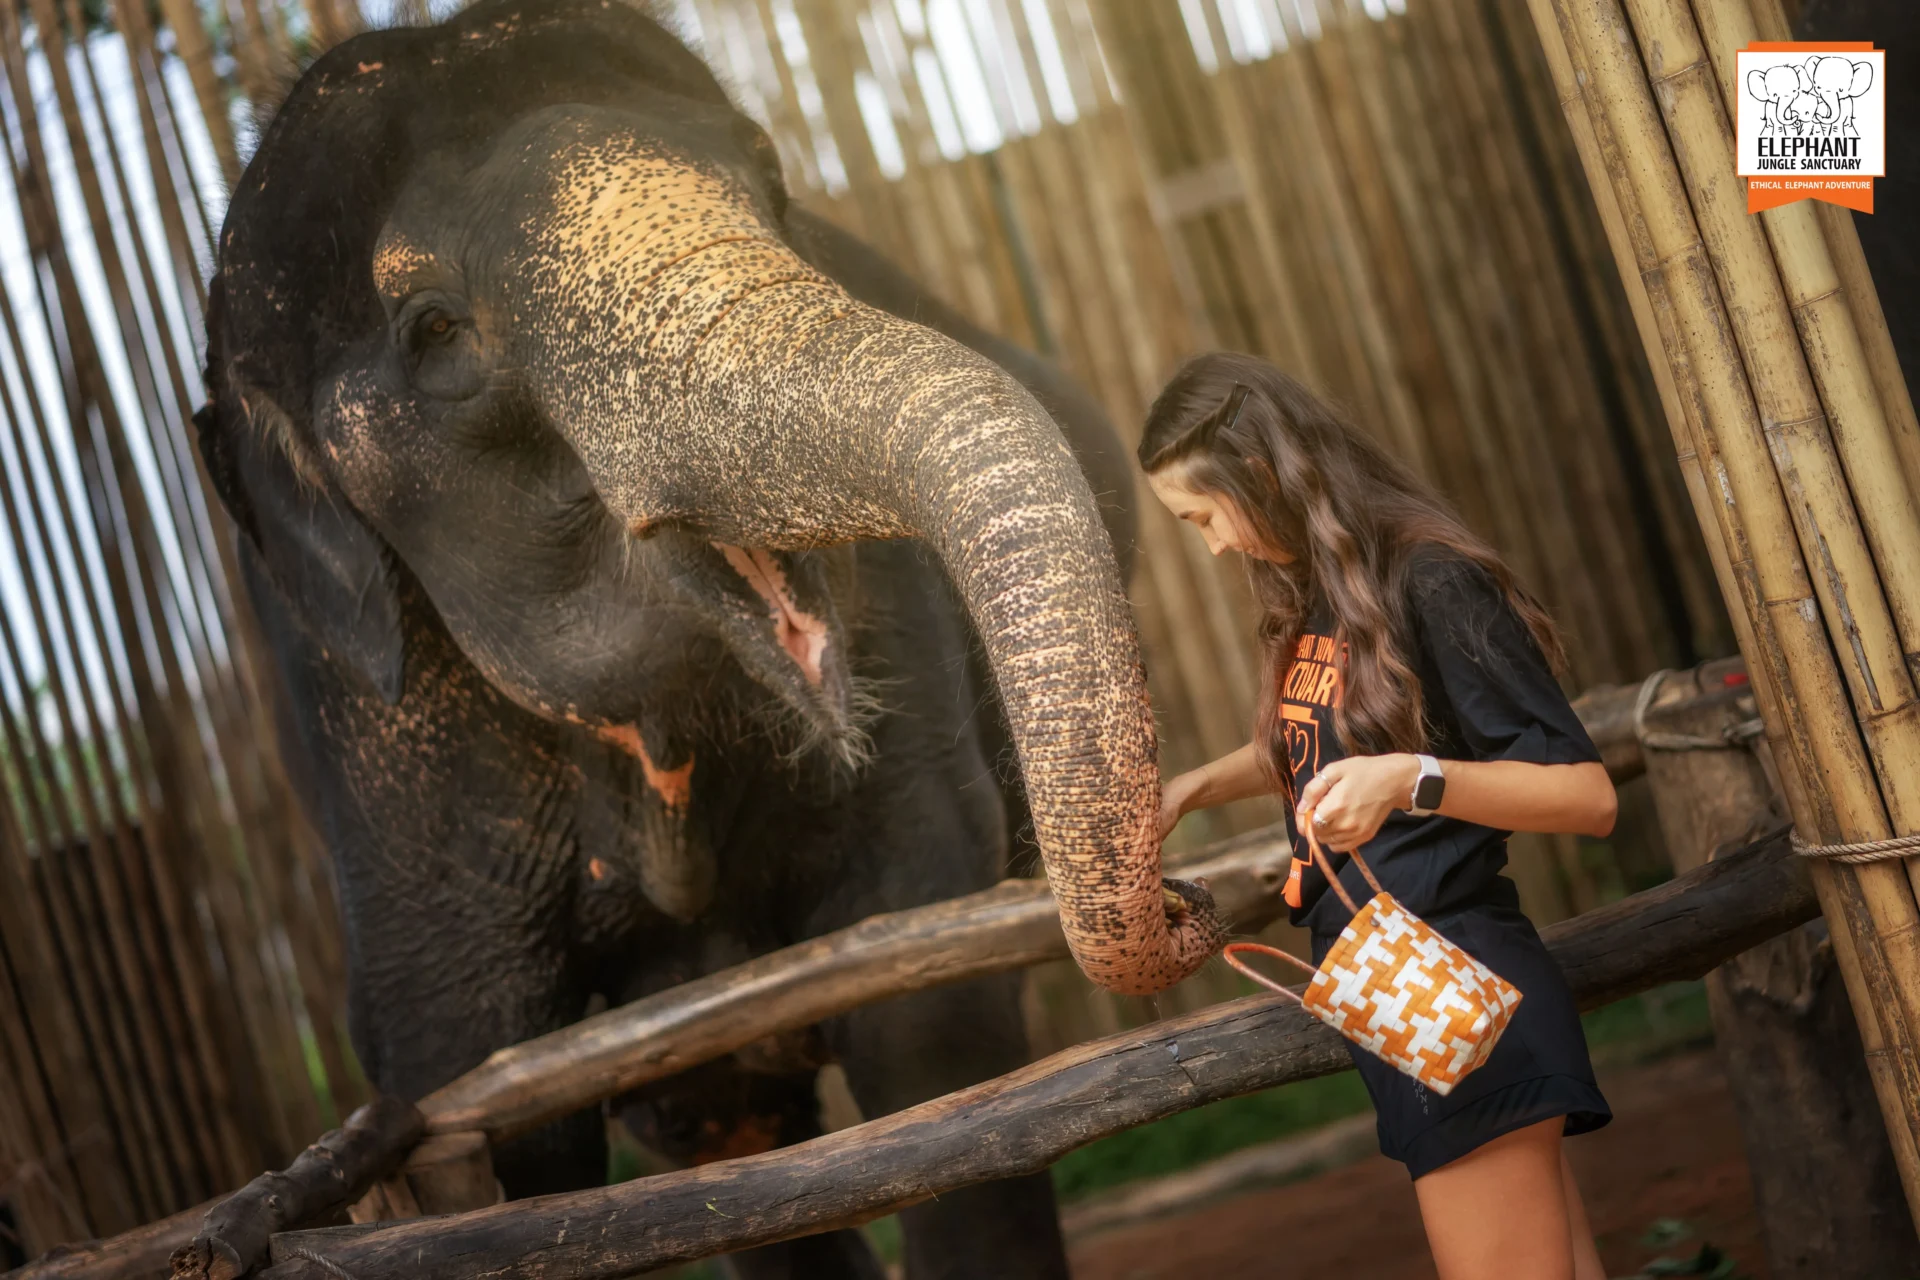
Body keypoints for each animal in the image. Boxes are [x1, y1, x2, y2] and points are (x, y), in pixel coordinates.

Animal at [195, 1, 1224, 1275]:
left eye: (774, 185)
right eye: (432, 329)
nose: (1185, 898)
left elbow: (929, 1011)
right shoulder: (383, 764)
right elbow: (483, 1107)